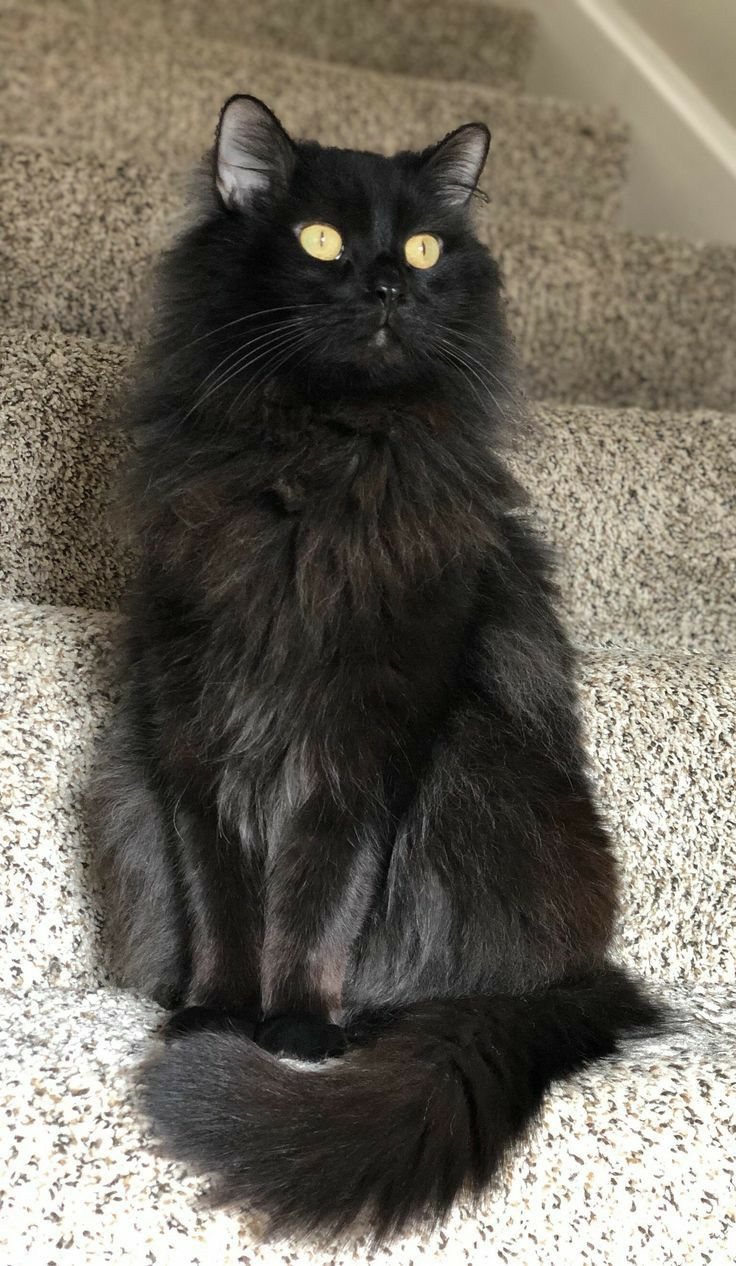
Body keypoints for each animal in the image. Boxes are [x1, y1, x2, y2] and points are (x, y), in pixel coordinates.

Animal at [91, 93, 658, 1240]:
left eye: (427, 248)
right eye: (321, 240)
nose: (391, 285)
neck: (321, 459)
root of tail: (583, 976)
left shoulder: (370, 742)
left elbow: (322, 903)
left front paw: (299, 1029)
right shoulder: (195, 736)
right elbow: (225, 899)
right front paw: (218, 1017)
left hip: (477, 768)